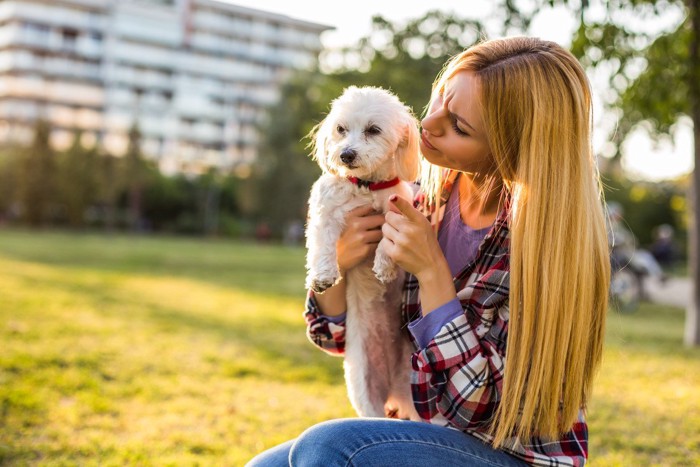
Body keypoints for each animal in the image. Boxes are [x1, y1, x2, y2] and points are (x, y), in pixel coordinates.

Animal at [306, 85, 422, 420]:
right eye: (340, 129)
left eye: (373, 130)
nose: (346, 154)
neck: (366, 186)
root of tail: (396, 392)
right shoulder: (325, 211)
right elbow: (323, 244)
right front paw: (323, 276)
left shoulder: (399, 211)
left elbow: (387, 240)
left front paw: (384, 265)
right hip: (365, 389)